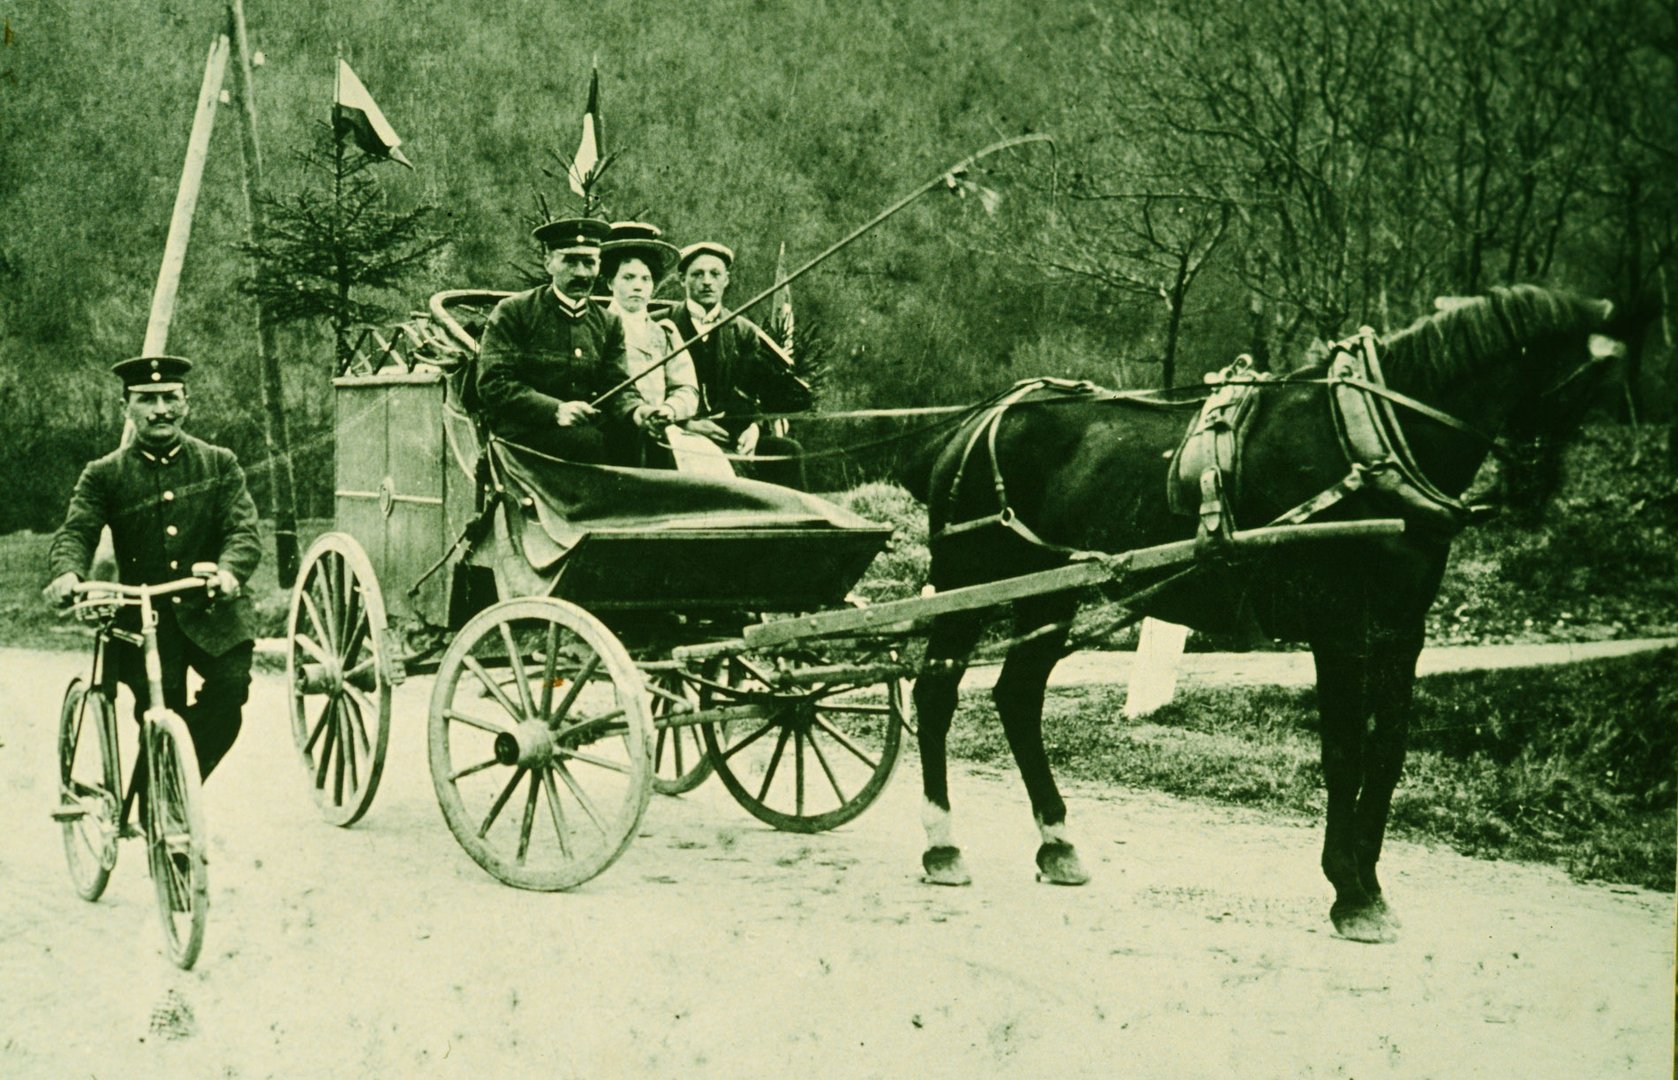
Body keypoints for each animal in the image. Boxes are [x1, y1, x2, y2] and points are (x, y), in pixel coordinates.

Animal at [912, 286, 1631, 945]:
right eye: (1583, 386)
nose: (1533, 489)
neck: (1366, 442)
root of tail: (977, 420)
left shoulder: (1402, 632)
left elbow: (1388, 755)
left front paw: (1370, 884)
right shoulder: (1339, 629)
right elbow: (1344, 753)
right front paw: (1350, 891)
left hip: (1050, 591)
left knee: (1017, 696)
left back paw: (1057, 842)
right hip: (967, 578)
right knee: (936, 692)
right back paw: (942, 844)